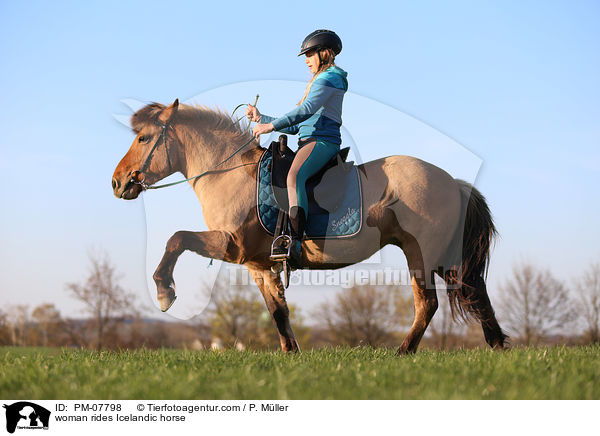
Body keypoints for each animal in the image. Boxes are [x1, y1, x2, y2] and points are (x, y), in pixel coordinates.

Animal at [111, 99, 506, 354]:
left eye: (144, 138)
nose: (117, 182)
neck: (228, 173)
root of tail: (452, 182)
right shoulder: (257, 264)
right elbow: (277, 311)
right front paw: (291, 354)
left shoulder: (231, 244)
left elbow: (176, 239)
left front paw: (164, 292)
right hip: (441, 258)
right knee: (474, 290)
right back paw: (498, 345)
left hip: (423, 255)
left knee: (429, 303)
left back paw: (404, 353)